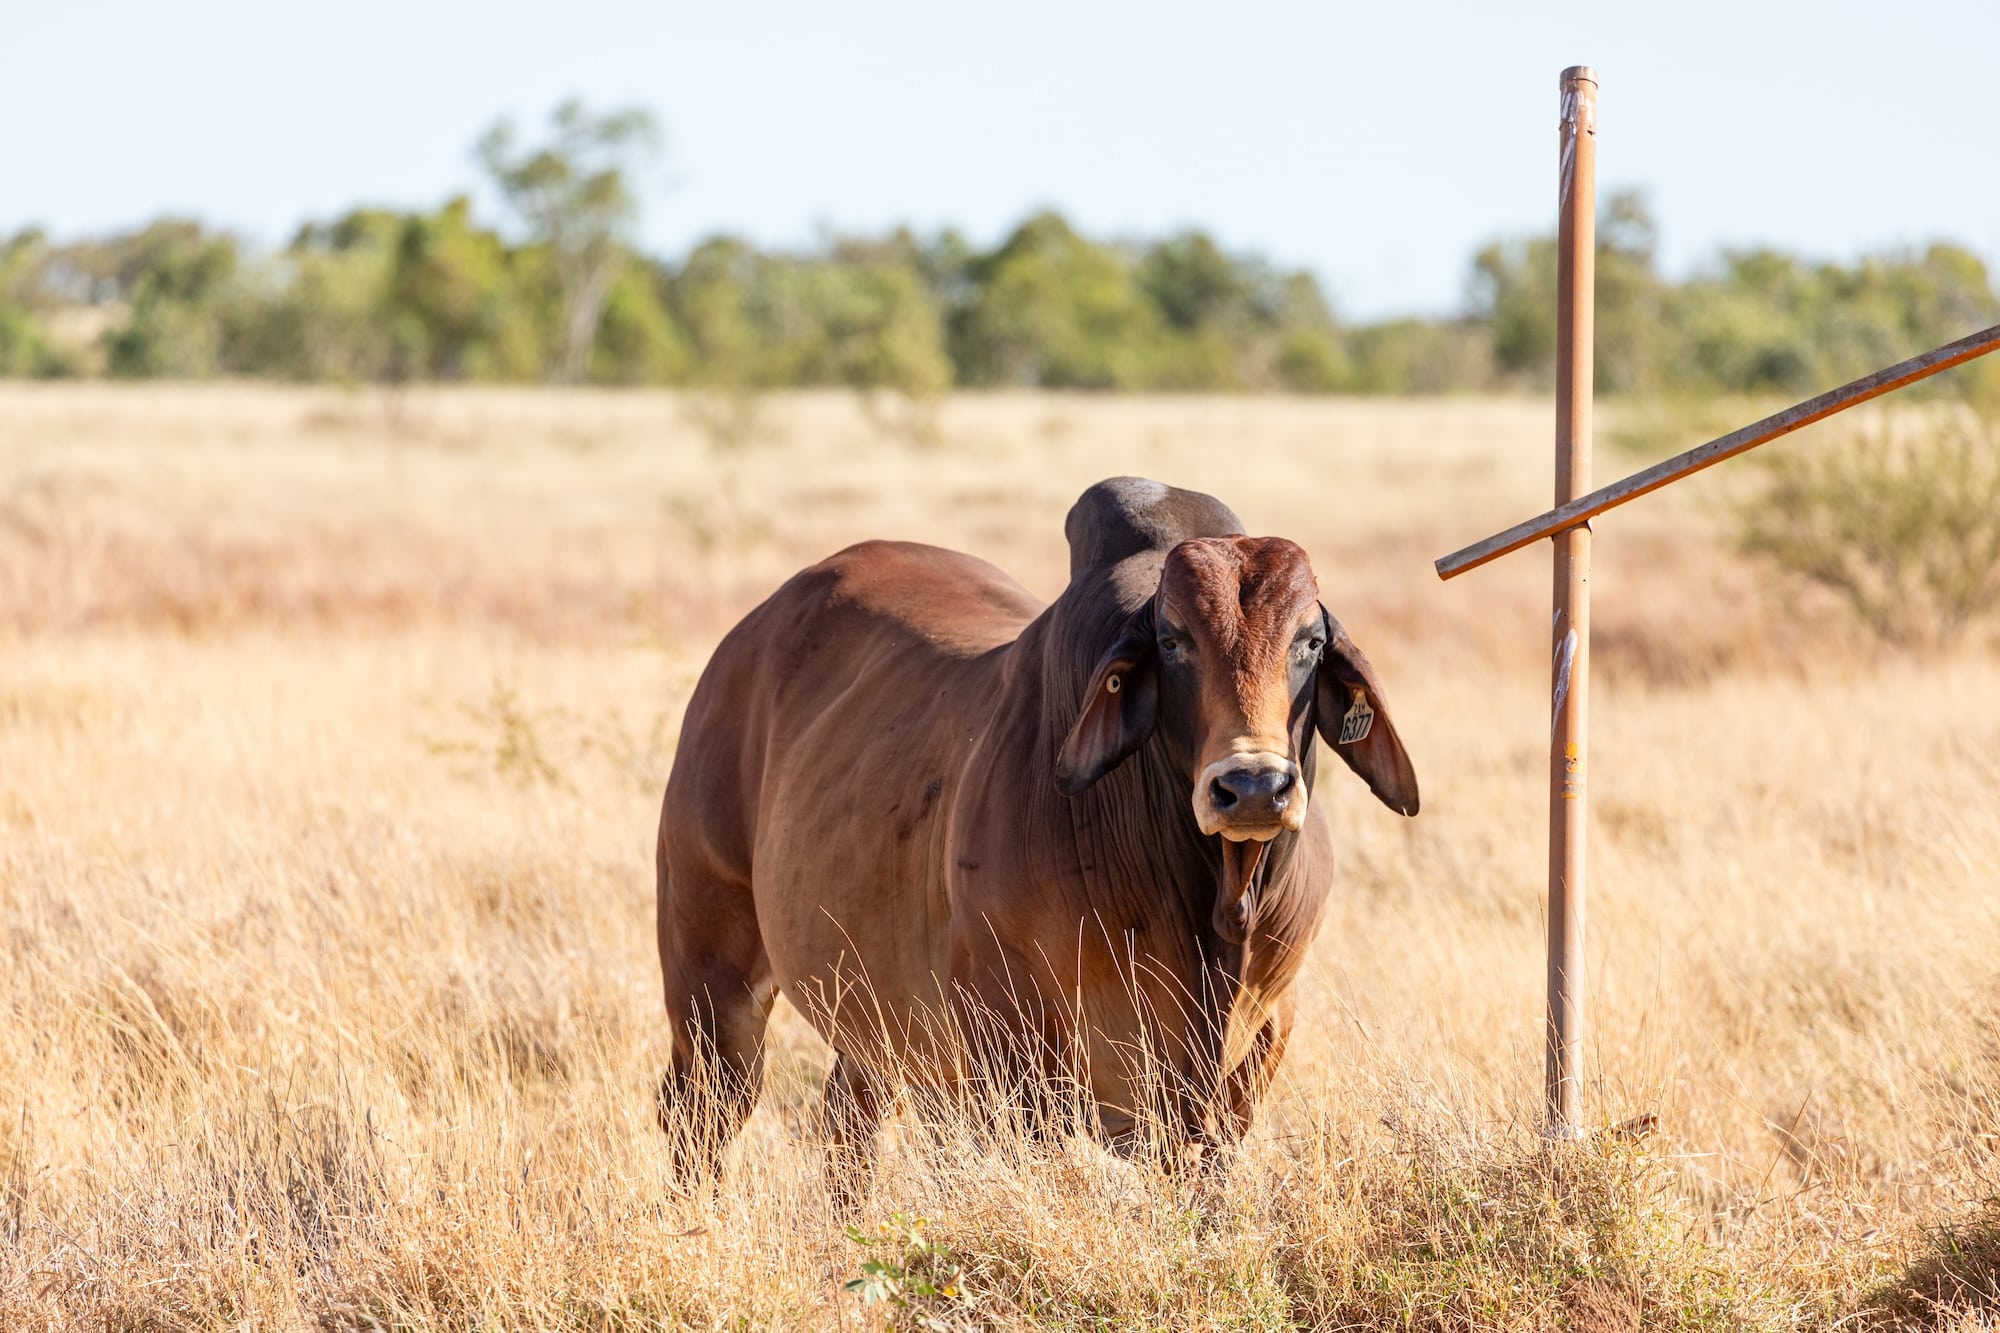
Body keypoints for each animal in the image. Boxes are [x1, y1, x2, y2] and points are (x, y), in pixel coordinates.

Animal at [654, 477, 1417, 1187]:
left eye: (1309, 642)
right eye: (1173, 641)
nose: (1253, 786)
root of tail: (751, 633)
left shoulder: (1255, 1050)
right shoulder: (1007, 1047)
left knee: (850, 1119)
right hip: (709, 977)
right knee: (701, 1114)